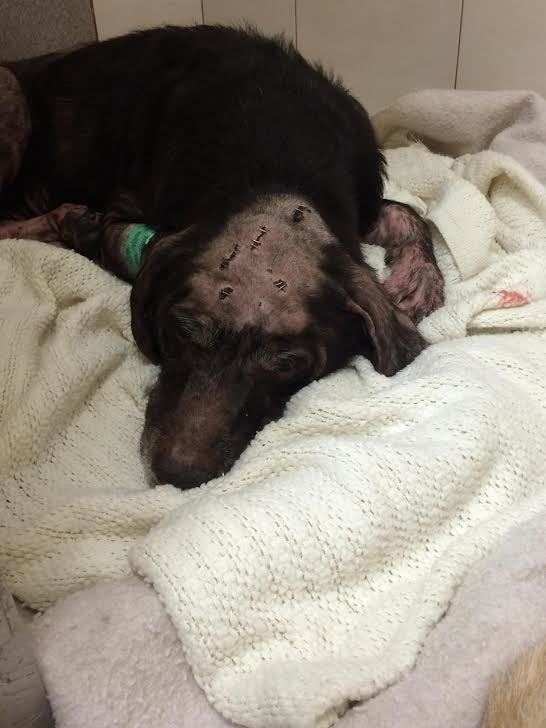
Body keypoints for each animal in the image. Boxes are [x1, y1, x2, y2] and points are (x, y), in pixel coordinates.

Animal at [0, 25, 442, 490]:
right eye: (183, 330)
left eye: (288, 363)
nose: (179, 474)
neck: (276, 163)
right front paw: (75, 224)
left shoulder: (362, 202)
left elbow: (408, 213)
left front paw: (417, 281)